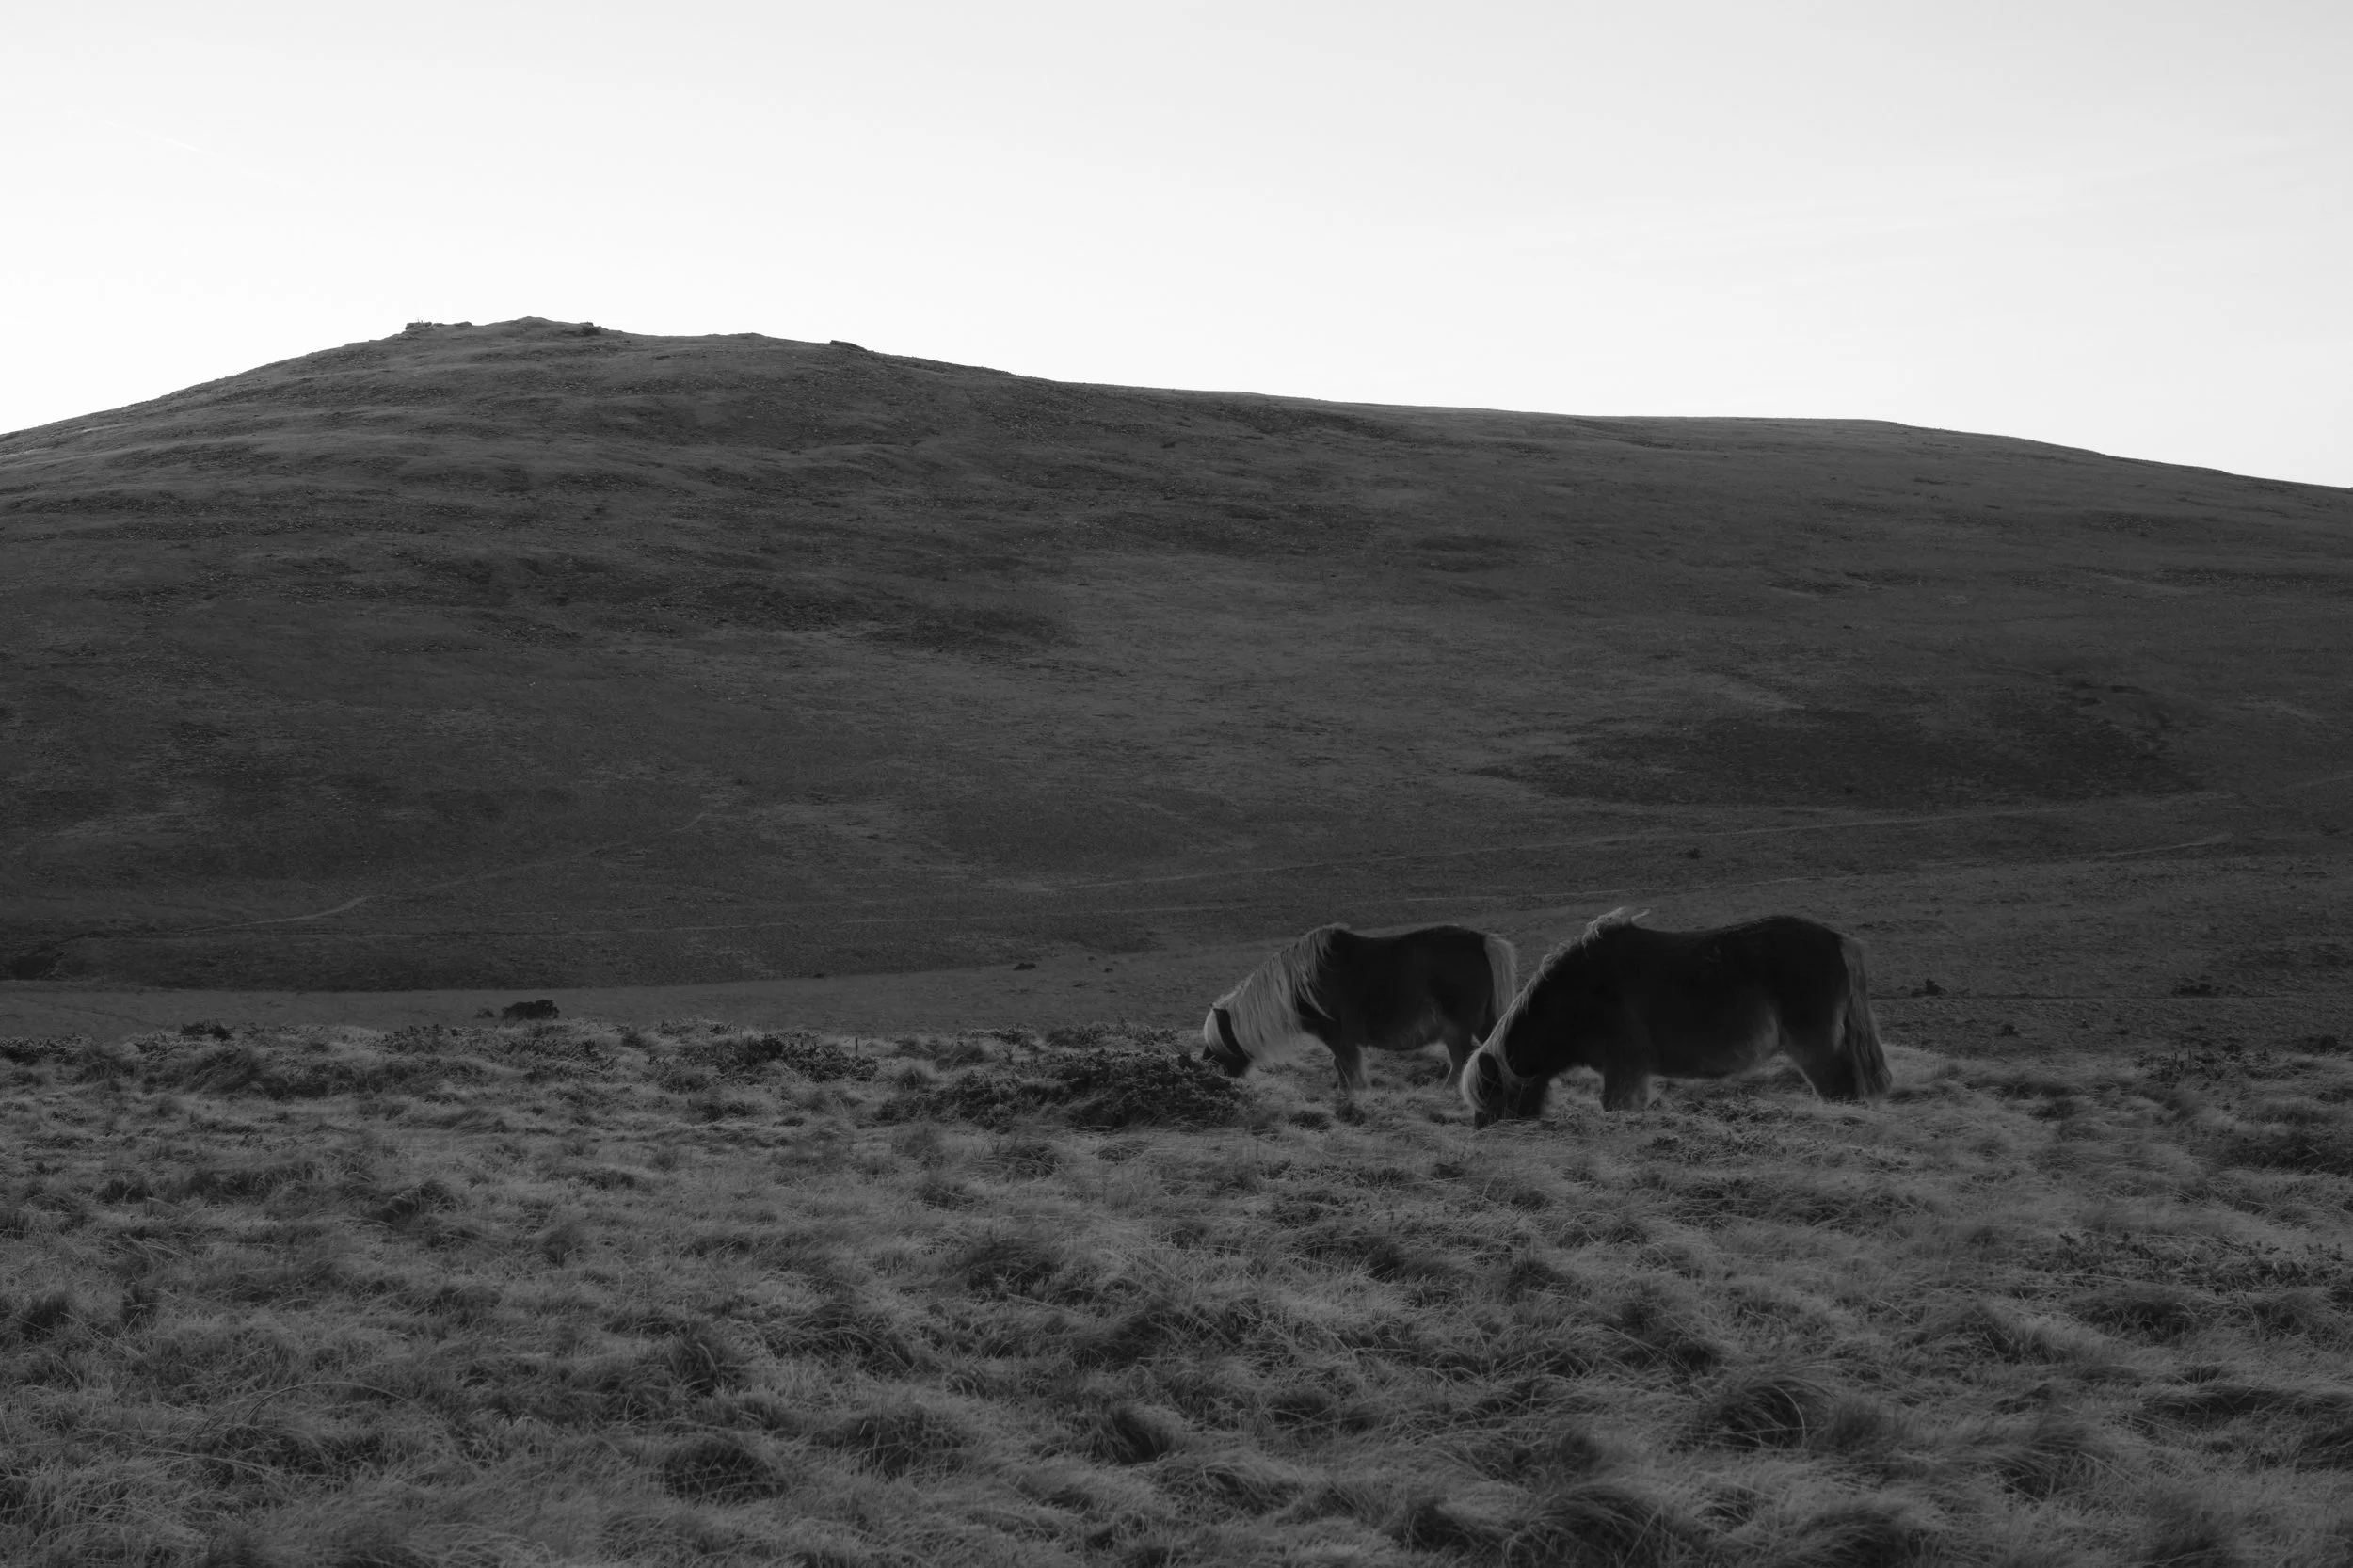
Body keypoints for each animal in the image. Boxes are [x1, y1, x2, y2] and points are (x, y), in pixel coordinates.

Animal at [1199, 924, 1520, 1094]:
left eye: (1220, 1042)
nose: (1210, 1073)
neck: (1298, 984)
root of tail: (1483, 941)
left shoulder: (1337, 1035)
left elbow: (1347, 1065)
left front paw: (1355, 1093)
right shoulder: (1339, 1039)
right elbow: (1340, 1065)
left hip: (1458, 1028)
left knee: (1461, 1059)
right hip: (1482, 1023)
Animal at [1461, 909, 1888, 1125]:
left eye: (1494, 1096)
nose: (1482, 1131)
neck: (1579, 993)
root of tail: (1837, 940)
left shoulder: (1624, 1068)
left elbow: (1617, 1107)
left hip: (1815, 1047)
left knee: (1841, 1090)